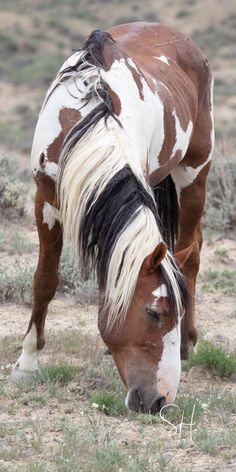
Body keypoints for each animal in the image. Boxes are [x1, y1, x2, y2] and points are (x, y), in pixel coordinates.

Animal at [10, 23, 214, 412]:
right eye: (153, 313)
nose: (160, 400)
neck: (88, 125)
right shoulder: (45, 202)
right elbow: (44, 280)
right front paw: (27, 362)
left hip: (194, 172)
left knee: (192, 254)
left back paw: (189, 343)